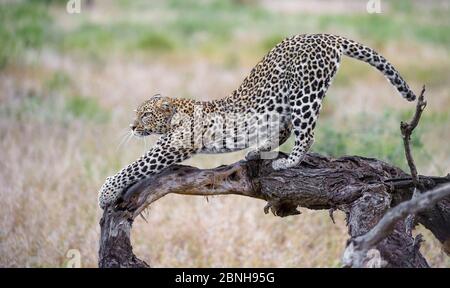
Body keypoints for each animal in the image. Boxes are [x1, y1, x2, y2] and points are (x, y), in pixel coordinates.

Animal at [98, 33, 414, 208]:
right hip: (283, 101)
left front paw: (106, 193)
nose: (132, 126)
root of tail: (326, 36)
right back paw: (257, 151)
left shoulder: (174, 145)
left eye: (145, 114)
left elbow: (134, 166)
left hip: (305, 93)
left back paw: (288, 162)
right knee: (285, 129)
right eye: (137, 113)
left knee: (306, 133)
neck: (177, 110)